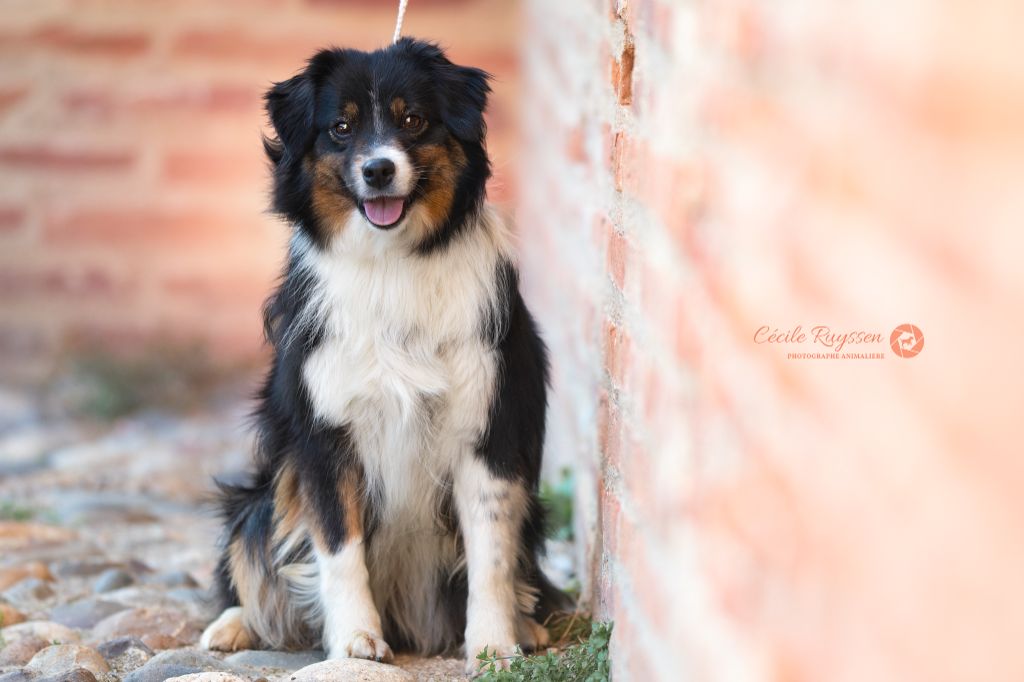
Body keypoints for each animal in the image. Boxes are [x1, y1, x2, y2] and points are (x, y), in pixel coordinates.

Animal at [199, 38, 569, 667]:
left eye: (412, 120)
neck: (392, 261)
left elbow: (491, 553)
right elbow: (337, 546)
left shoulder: (488, 429)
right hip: (257, 501)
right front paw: (355, 639)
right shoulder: (324, 435)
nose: (378, 170)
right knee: (251, 557)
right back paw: (233, 625)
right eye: (342, 127)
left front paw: (493, 644)